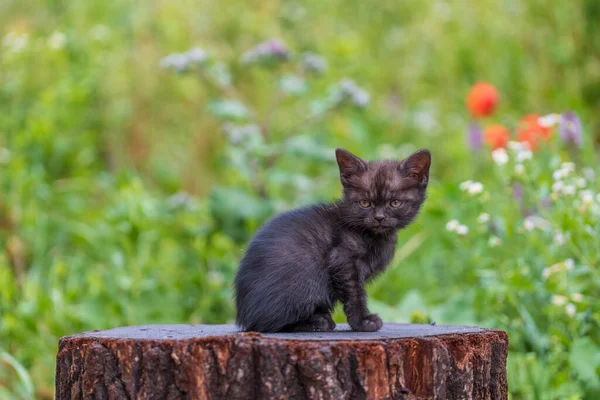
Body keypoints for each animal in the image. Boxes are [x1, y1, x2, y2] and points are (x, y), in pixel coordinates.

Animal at [234, 148, 432, 332]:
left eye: (395, 203)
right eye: (365, 203)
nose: (379, 217)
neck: (374, 235)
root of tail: (244, 316)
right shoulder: (342, 261)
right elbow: (355, 294)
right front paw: (363, 322)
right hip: (301, 286)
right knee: (267, 324)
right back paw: (316, 321)